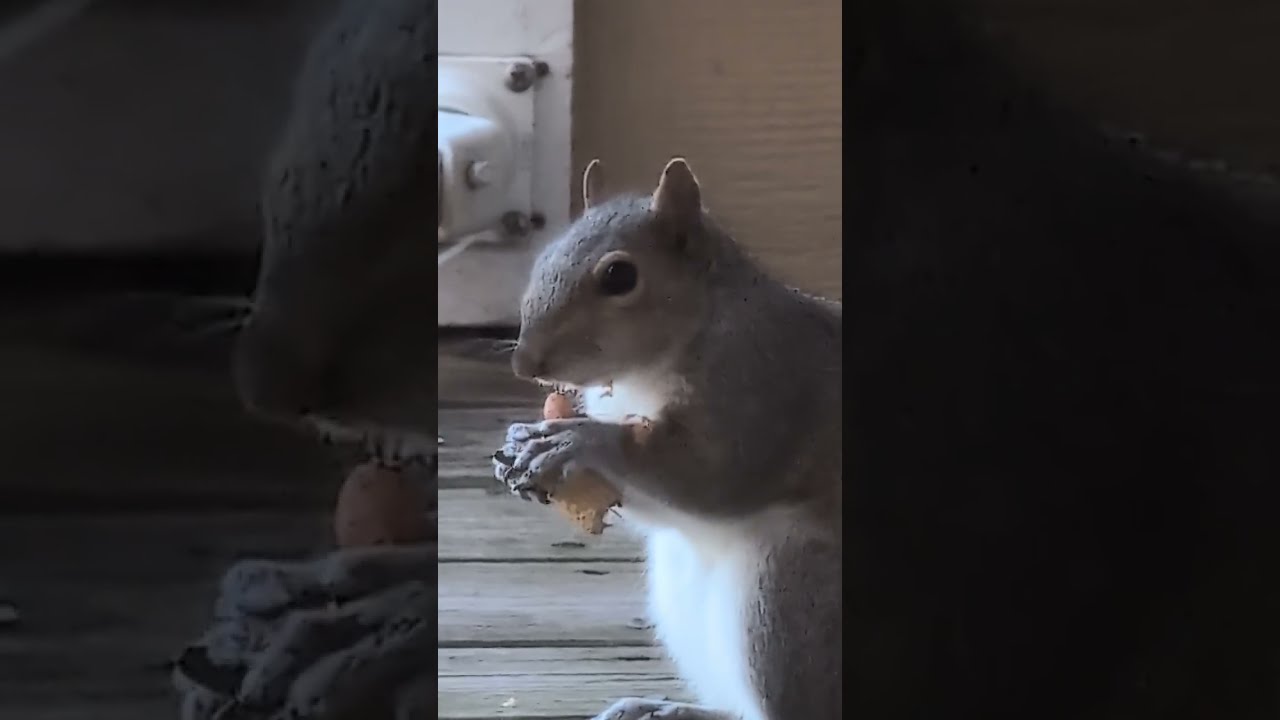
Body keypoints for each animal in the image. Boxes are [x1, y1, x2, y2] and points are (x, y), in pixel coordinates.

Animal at [493, 158, 842, 720]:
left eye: (620, 276)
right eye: (546, 255)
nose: (525, 363)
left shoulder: (761, 385)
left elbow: (711, 477)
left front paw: (574, 441)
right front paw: (519, 442)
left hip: (791, 595)